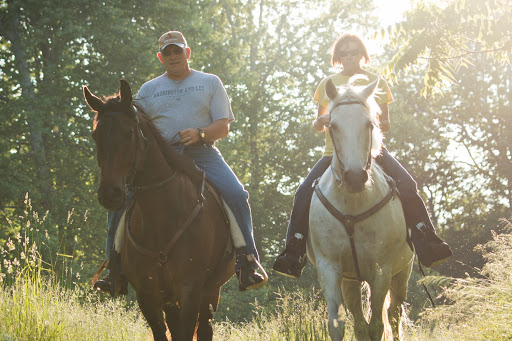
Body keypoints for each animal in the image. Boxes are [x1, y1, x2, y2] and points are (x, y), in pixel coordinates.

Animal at [84, 79, 236, 340]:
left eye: (129, 133)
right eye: (96, 135)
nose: (110, 194)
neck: (163, 217)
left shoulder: (190, 289)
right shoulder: (147, 293)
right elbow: (162, 332)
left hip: (210, 291)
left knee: (205, 328)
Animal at [306, 76, 414, 340]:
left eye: (369, 125)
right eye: (333, 126)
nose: (355, 178)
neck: (352, 206)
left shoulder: (381, 270)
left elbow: (377, 325)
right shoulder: (330, 267)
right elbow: (338, 324)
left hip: (402, 272)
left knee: (394, 315)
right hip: (351, 280)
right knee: (359, 322)